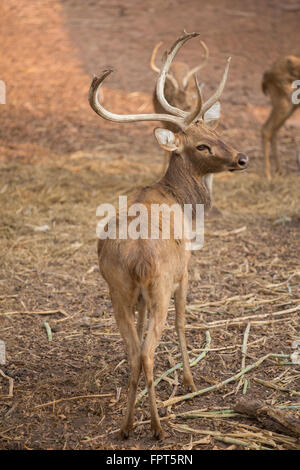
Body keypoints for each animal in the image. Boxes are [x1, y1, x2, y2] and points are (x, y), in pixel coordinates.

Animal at [88, 31, 248, 438]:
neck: (180, 199)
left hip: (117, 287)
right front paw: (191, 381)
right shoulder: (185, 269)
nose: (242, 158)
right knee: (147, 351)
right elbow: (182, 321)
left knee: (135, 353)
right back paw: (158, 426)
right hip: (160, 281)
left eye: (215, 130)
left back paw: (128, 425)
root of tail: (140, 259)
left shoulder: (138, 295)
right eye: (201, 145)